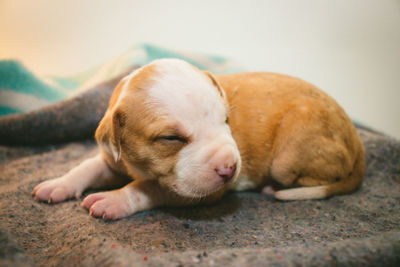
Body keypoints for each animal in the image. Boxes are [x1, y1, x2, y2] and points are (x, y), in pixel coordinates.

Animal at [32, 59, 366, 221]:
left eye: (226, 119)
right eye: (171, 138)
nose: (230, 168)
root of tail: (355, 136)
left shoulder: (201, 192)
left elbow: (147, 188)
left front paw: (114, 199)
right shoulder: (115, 158)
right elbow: (87, 167)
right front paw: (58, 184)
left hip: (290, 157)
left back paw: (274, 187)